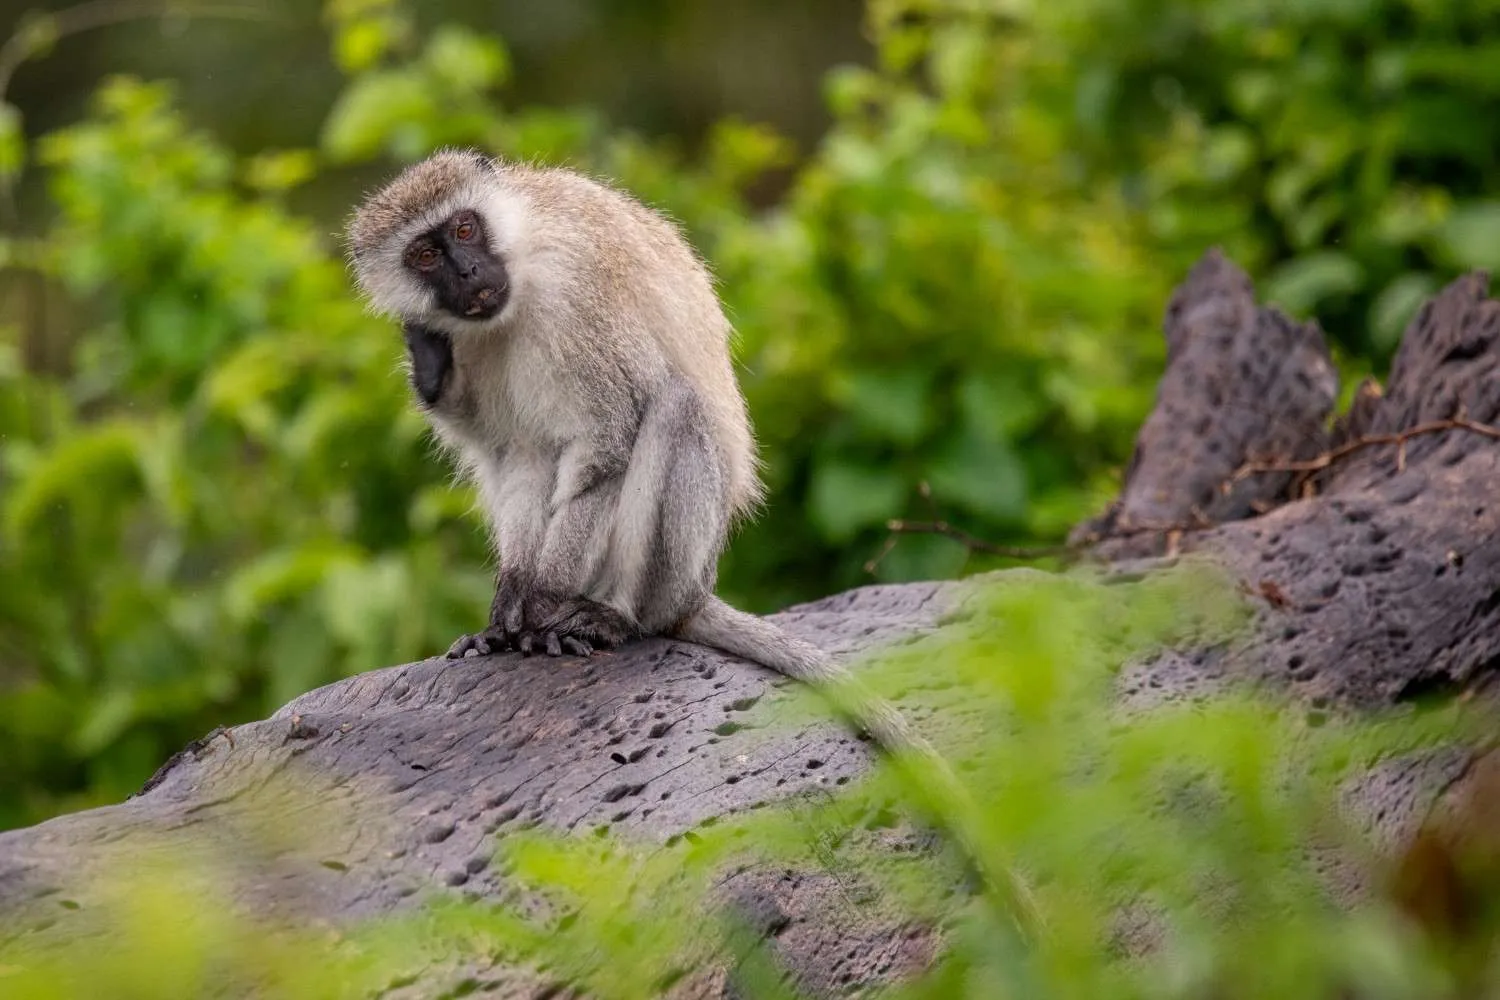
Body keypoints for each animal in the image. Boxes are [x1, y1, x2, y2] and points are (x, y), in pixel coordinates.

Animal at [343, 151, 1038, 923]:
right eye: (427, 253)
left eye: (466, 228)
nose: (466, 272)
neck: (517, 282)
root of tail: (694, 591)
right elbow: (512, 452)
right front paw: (507, 608)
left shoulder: (579, 304)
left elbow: (609, 443)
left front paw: (541, 603)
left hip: (674, 564)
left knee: (671, 407)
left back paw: (609, 618)